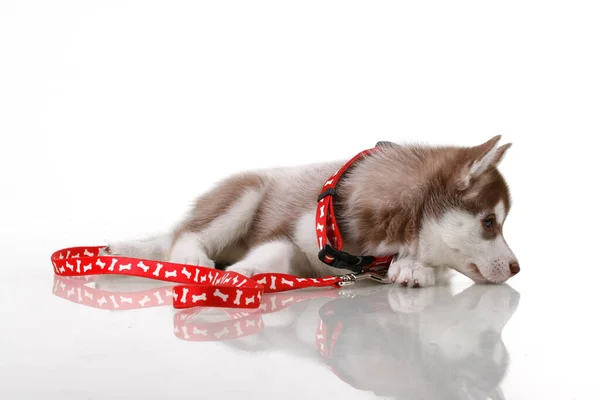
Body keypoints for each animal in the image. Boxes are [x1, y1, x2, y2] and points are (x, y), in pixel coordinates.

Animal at [101, 136, 516, 286]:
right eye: (489, 222)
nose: (517, 268)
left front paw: (411, 266)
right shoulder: (295, 231)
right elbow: (275, 250)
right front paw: (245, 272)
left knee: (166, 239)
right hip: (245, 194)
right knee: (185, 234)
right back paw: (192, 259)